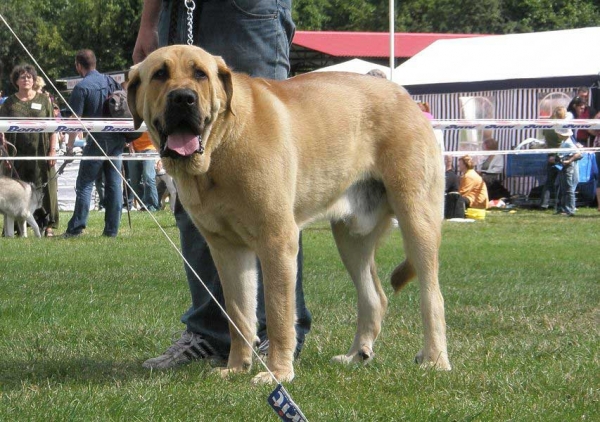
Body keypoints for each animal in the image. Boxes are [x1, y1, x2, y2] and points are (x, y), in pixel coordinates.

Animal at [127, 44, 450, 384]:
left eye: (200, 74)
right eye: (160, 74)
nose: (182, 98)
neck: (221, 145)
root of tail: (405, 96)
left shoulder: (277, 241)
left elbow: (279, 313)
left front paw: (277, 373)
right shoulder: (226, 248)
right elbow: (238, 313)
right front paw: (236, 366)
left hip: (417, 217)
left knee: (432, 296)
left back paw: (435, 359)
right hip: (351, 236)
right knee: (374, 296)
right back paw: (355, 354)